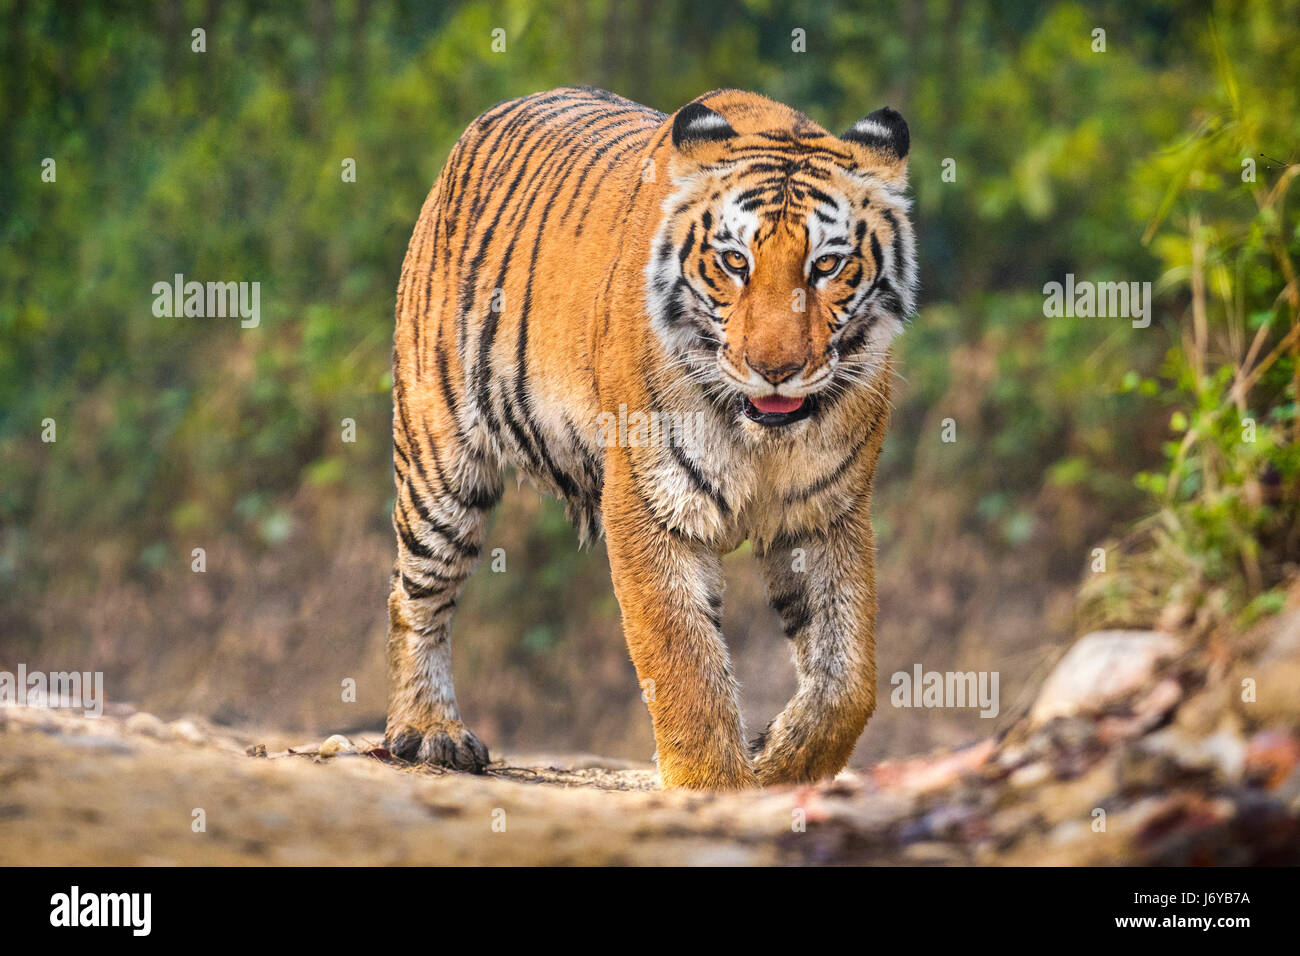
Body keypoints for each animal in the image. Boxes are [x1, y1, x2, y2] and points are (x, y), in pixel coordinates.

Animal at [384, 85, 915, 790]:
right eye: (735, 261)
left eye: (827, 264)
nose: (775, 368)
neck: (761, 438)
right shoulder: (649, 502)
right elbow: (683, 661)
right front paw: (715, 788)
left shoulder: (828, 515)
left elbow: (848, 676)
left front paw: (779, 765)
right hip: (440, 462)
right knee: (415, 596)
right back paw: (428, 731)